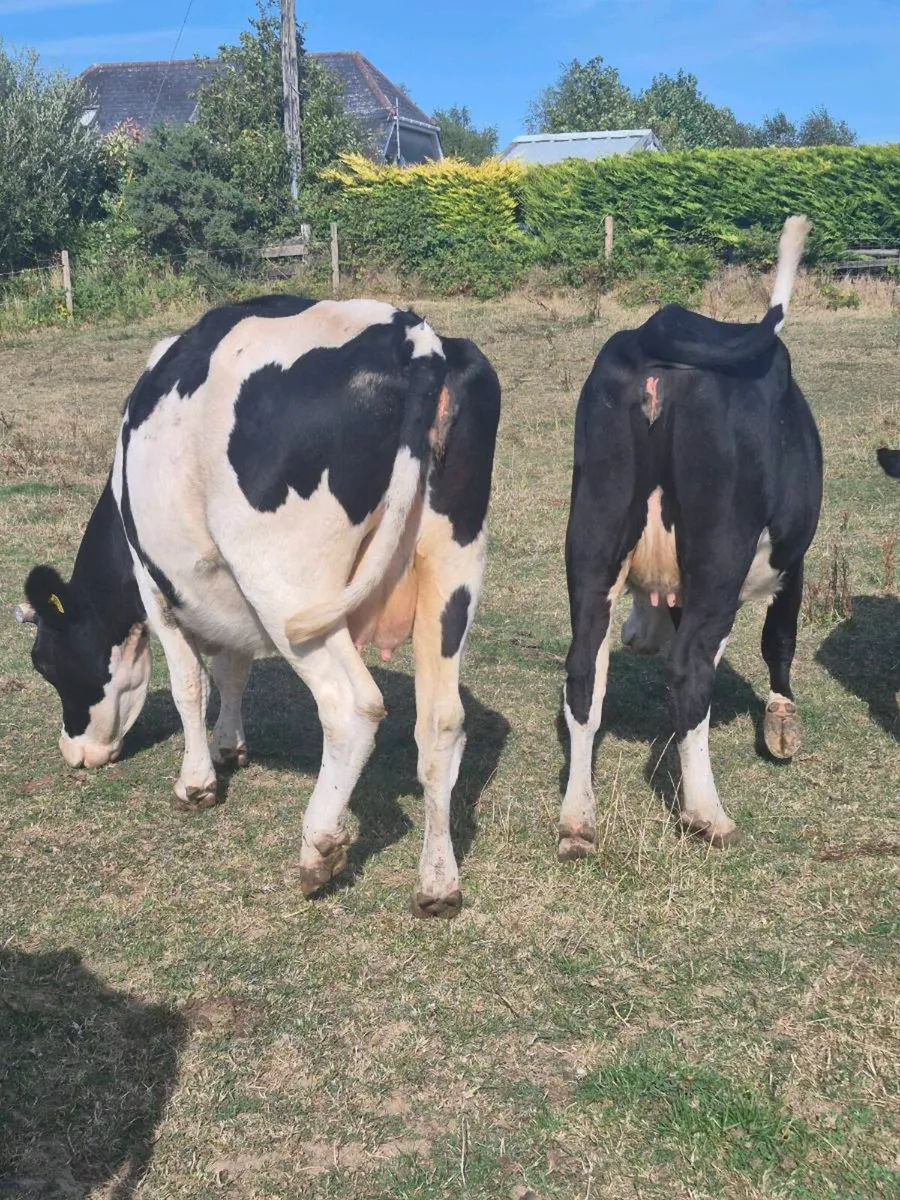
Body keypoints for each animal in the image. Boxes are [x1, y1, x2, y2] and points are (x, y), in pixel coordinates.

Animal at [15, 295, 501, 917]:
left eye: (44, 663)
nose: (74, 752)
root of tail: (414, 341)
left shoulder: (156, 589)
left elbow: (190, 685)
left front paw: (196, 783)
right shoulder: (228, 593)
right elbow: (233, 668)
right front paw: (230, 746)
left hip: (288, 586)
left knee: (352, 707)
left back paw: (318, 850)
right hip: (451, 569)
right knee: (442, 721)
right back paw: (437, 884)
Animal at [559, 216, 821, 858]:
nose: (639, 634)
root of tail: (658, 330)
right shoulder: (790, 559)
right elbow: (779, 638)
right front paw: (782, 719)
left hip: (593, 536)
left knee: (583, 673)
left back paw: (578, 821)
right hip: (720, 552)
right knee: (689, 667)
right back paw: (707, 814)